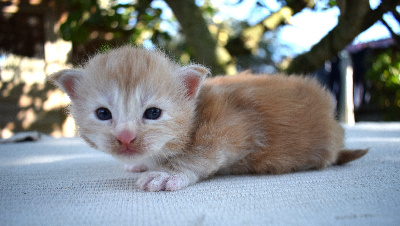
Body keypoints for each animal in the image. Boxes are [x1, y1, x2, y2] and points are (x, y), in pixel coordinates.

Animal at [49, 46, 368, 192]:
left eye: (153, 113)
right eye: (103, 114)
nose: (126, 137)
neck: (196, 109)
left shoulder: (234, 124)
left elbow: (204, 152)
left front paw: (168, 173)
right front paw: (142, 163)